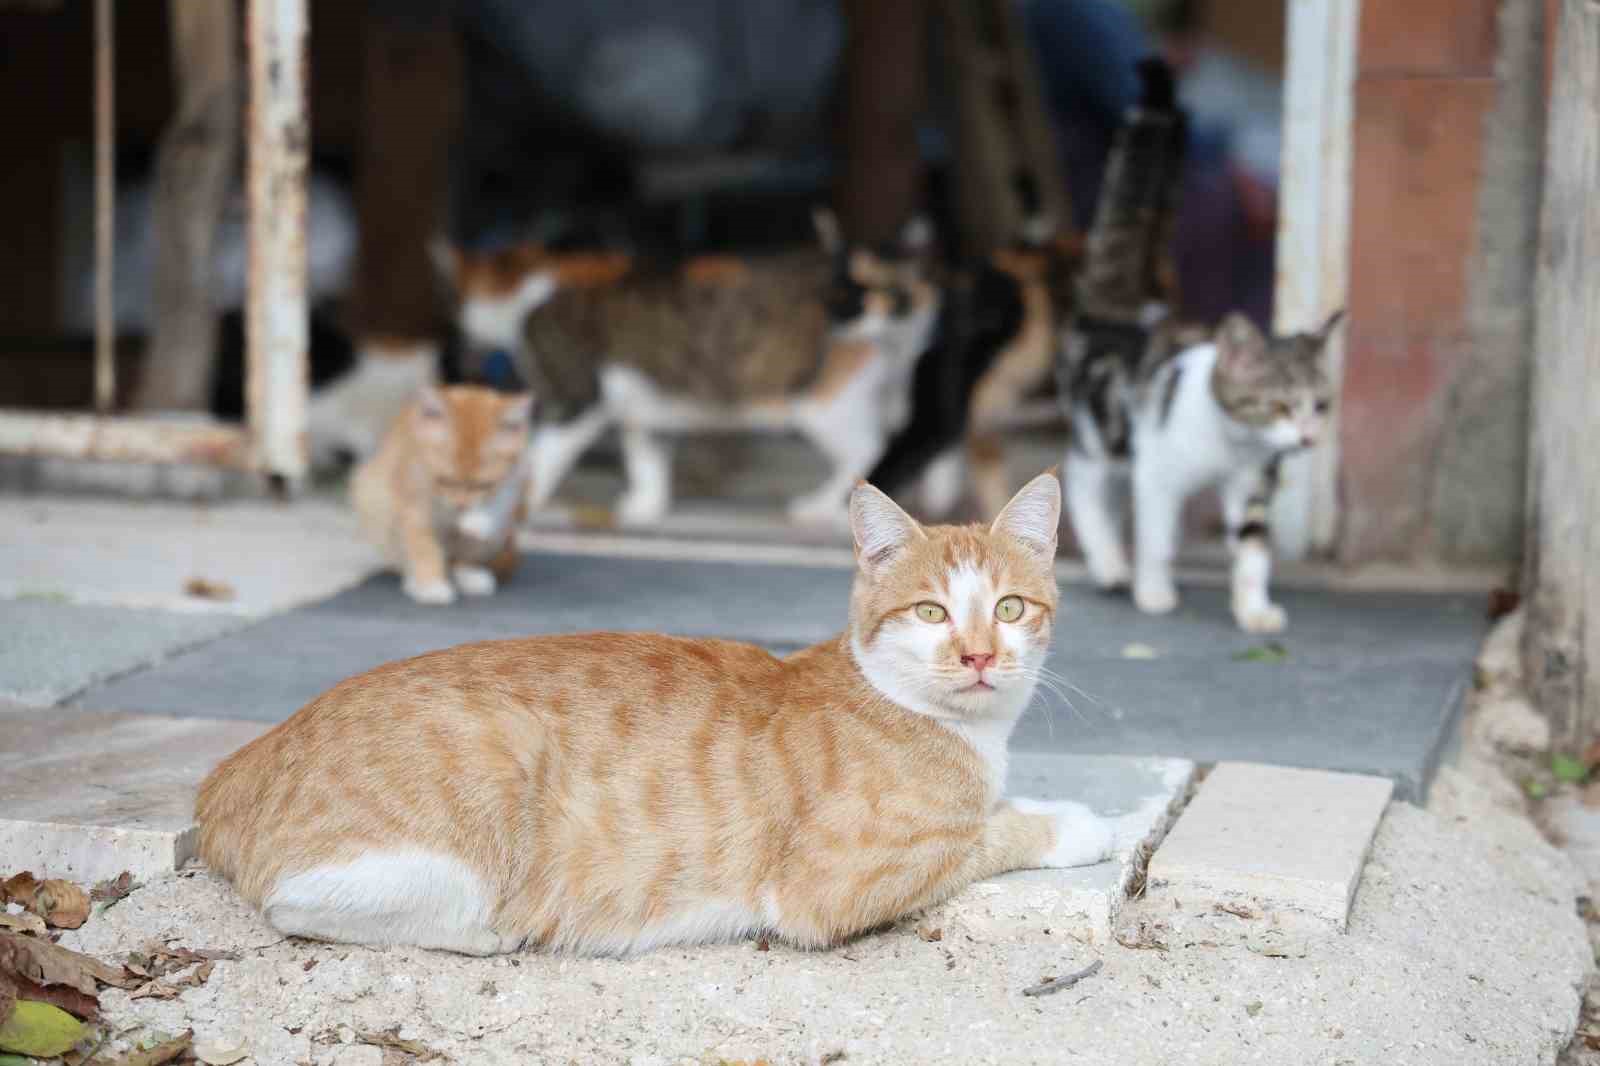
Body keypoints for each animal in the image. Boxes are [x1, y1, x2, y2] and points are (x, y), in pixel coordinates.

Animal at [193, 473, 1113, 953]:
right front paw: (1087, 823)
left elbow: (1000, 808)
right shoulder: (835, 887)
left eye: (1009, 609)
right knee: (303, 905)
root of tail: (241, 762)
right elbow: (990, 830)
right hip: (479, 779)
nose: (980, 656)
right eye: (930, 612)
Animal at [353, 382, 534, 601]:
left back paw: (469, 573)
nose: (461, 505)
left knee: (464, 556)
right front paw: (430, 583)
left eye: (483, 485)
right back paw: (414, 579)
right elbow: (423, 546)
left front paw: (479, 519)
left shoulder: (519, 478)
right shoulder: (412, 503)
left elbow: (501, 500)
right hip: (373, 501)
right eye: (444, 480)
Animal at [438, 217, 934, 528]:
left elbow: (539, 458)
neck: (534, 282)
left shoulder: (575, 399)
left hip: (824, 403)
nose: (458, 341)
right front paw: (645, 508)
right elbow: (647, 457)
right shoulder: (648, 407)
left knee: (869, 448)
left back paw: (820, 508)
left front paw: (496, 513)